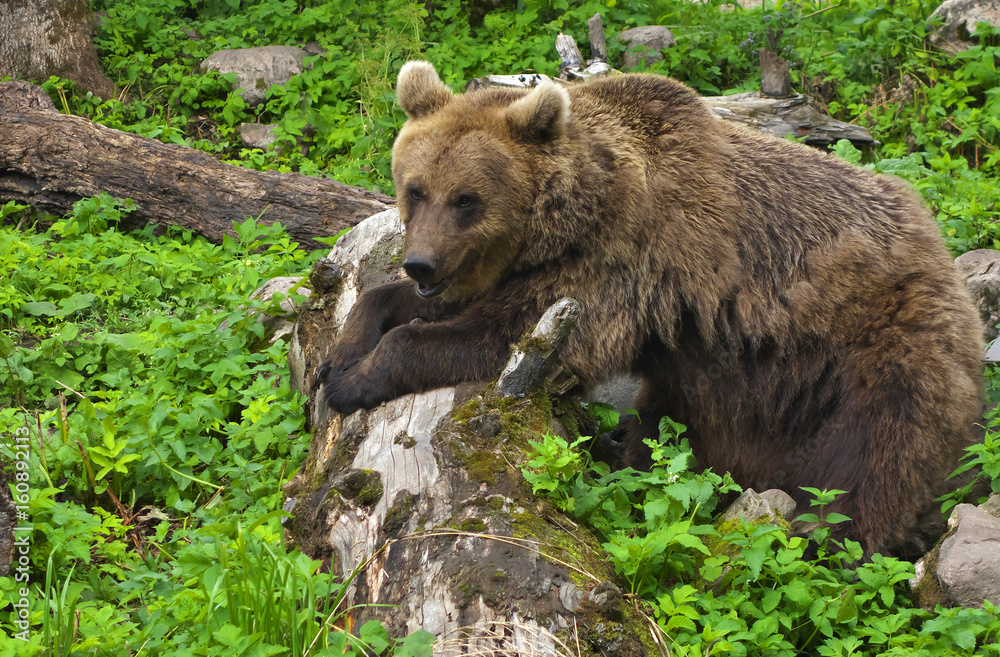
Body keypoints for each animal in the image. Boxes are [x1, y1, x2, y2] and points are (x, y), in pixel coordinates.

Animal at [317, 60, 984, 557]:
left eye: (467, 199)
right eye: (415, 189)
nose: (422, 264)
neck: (571, 218)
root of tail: (939, 248)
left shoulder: (619, 261)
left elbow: (504, 332)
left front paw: (353, 381)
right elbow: (417, 303)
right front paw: (341, 354)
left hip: (883, 345)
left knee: (872, 463)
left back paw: (827, 541)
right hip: (730, 387)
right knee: (675, 423)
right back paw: (624, 452)